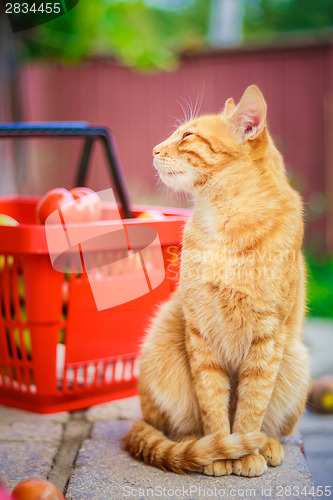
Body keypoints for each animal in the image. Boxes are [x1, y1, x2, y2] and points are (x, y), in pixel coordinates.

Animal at [123, 85, 310, 476]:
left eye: (187, 136)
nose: (154, 149)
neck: (225, 221)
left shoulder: (267, 338)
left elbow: (251, 407)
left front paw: (245, 452)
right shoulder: (201, 333)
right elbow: (213, 403)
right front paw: (221, 451)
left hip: (295, 360)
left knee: (273, 427)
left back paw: (267, 445)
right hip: (162, 344)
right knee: (173, 430)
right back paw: (195, 446)